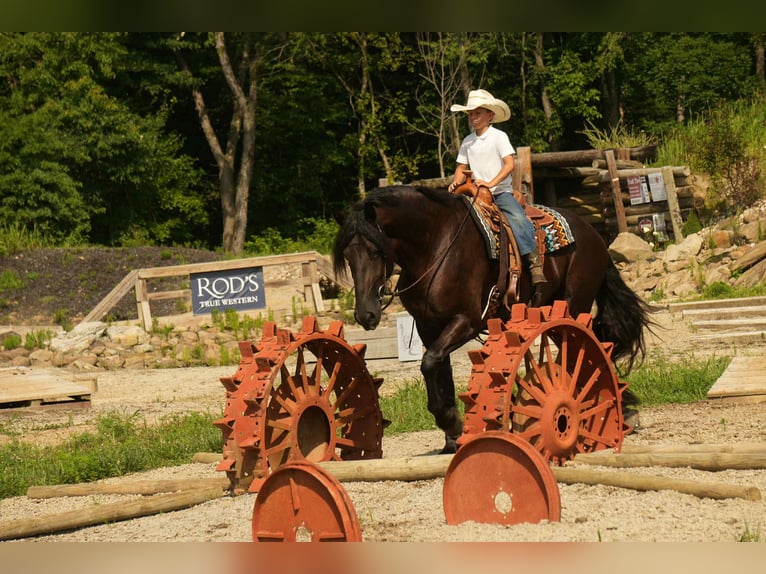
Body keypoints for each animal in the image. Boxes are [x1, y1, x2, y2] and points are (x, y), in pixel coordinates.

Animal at [332, 184, 655, 454]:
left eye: (375, 251)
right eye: (348, 255)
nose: (366, 314)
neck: (435, 246)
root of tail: (593, 233)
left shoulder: (467, 321)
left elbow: (429, 362)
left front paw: (452, 421)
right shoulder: (428, 327)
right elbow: (438, 370)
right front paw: (452, 436)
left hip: (575, 304)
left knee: (588, 349)